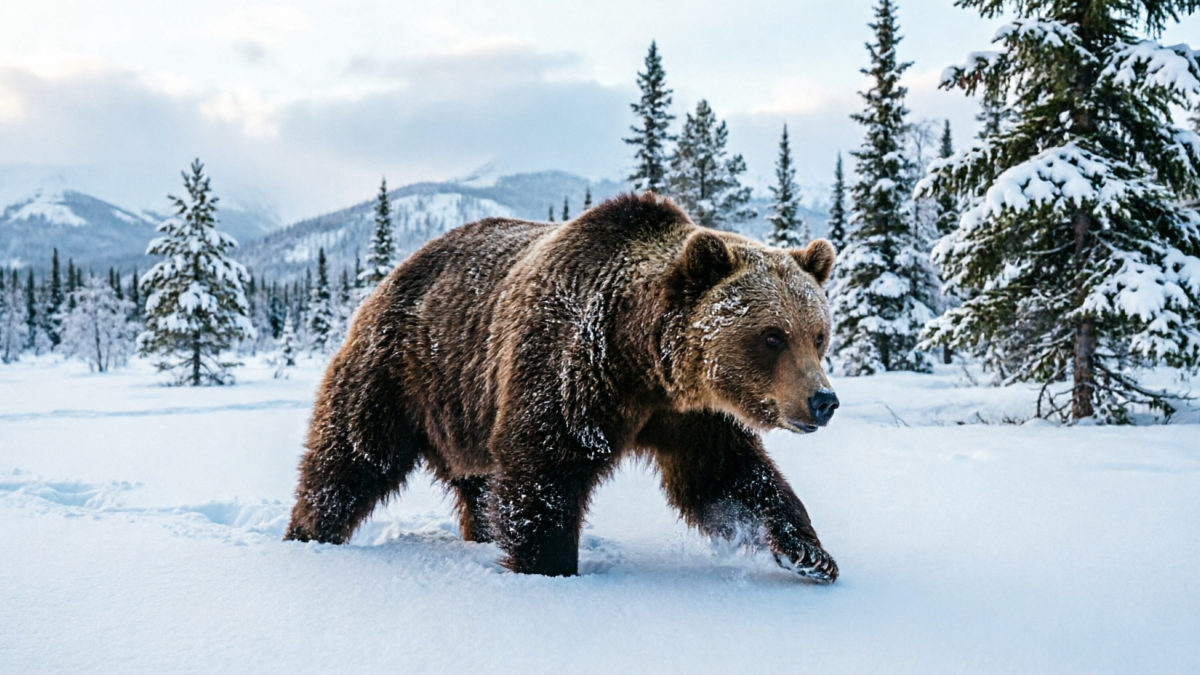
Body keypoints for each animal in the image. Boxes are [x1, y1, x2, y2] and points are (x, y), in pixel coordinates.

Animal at [284, 192, 840, 582]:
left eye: (818, 334)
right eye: (772, 336)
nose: (824, 401)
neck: (641, 360)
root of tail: (392, 275)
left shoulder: (691, 414)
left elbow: (727, 479)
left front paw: (811, 554)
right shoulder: (570, 370)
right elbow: (544, 471)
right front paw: (549, 569)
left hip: (465, 409)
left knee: (478, 484)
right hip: (400, 371)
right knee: (351, 456)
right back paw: (309, 533)